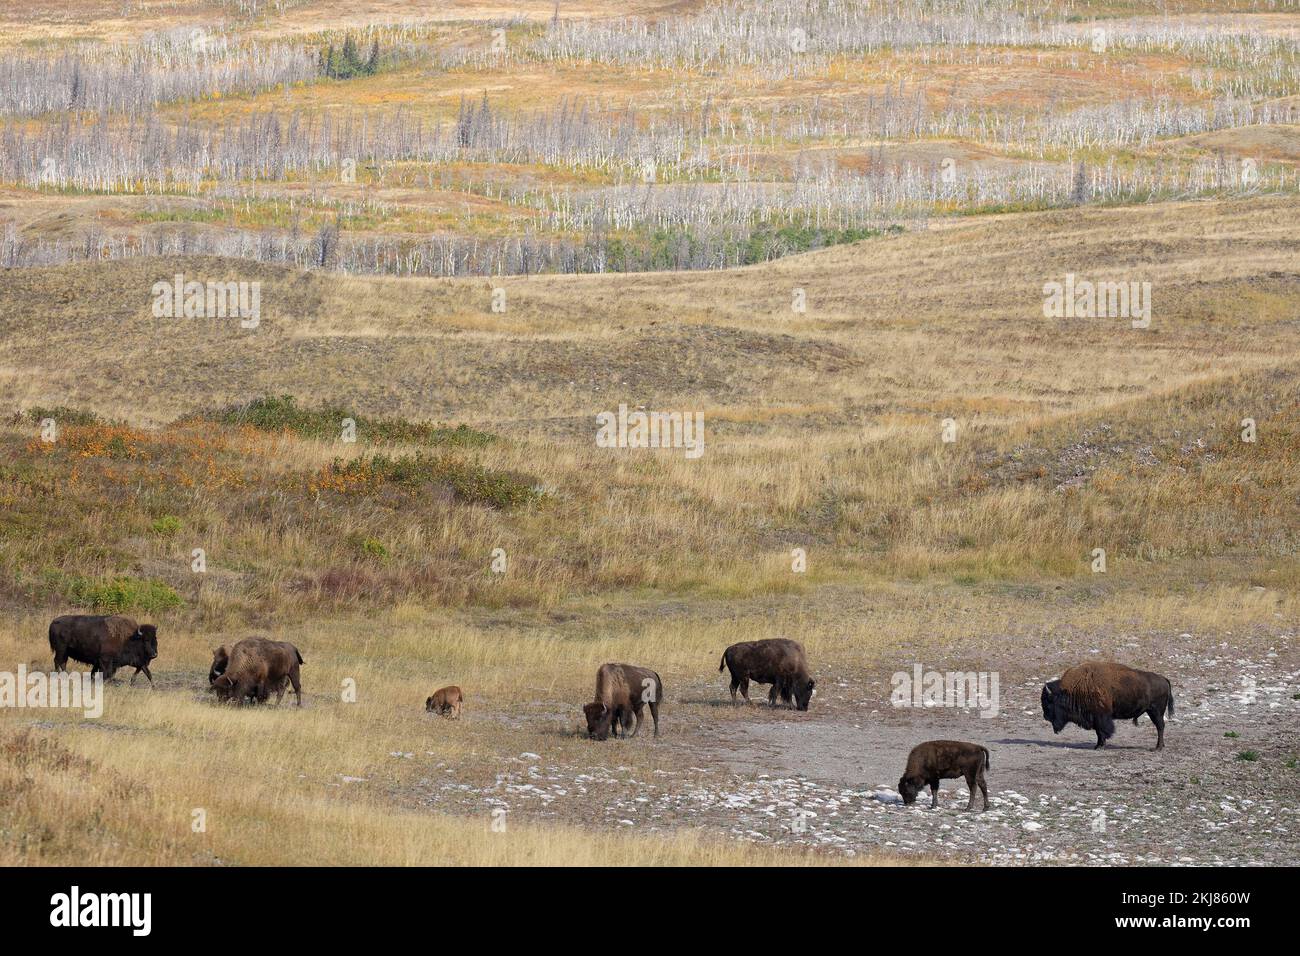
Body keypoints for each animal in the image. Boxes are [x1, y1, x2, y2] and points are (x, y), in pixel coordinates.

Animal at [1040, 660, 1175, 749]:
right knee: (1160, 726)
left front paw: (1100, 746)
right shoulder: (1096, 719)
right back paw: (1160, 746)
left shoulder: (1101, 717)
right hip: (1153, 712)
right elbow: (1098, 732)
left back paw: (1158, 747)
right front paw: (1097, 745)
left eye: (1049, 702)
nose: (1045, 716)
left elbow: (1102, 731)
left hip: (1156, 712)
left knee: (1160, 727)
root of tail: (1164, 679)